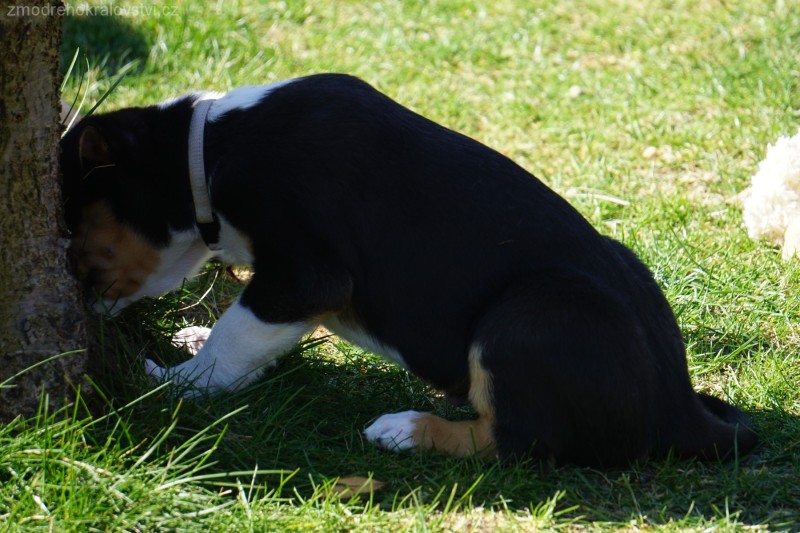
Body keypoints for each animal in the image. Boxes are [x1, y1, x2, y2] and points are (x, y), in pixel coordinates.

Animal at [61, 72, 756, 464]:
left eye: (74, 224)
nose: (79, 298)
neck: (208, 150)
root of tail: (682, 412)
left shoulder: (306, 272)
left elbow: (234, 339)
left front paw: (167, 380)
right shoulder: (289, 291)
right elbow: (252, 337)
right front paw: (195, 341)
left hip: (527, 314)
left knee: (518, 445)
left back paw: (406, 430)